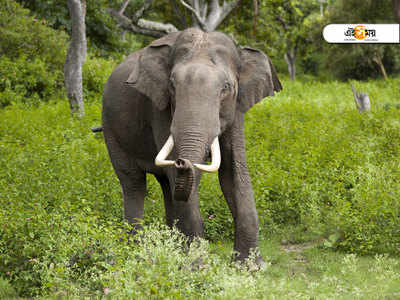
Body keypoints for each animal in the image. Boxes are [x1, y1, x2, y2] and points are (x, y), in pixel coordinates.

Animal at [101, 27, 282, 268]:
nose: (182, 161)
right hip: (111, 129)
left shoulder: (237, 108)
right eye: (172, 86)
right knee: (134, 183)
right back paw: (136, 252)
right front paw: (196, 266)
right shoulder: (159, 107)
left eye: (226, 88)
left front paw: (251, 267)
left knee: (167, 186)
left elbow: (233, 172)